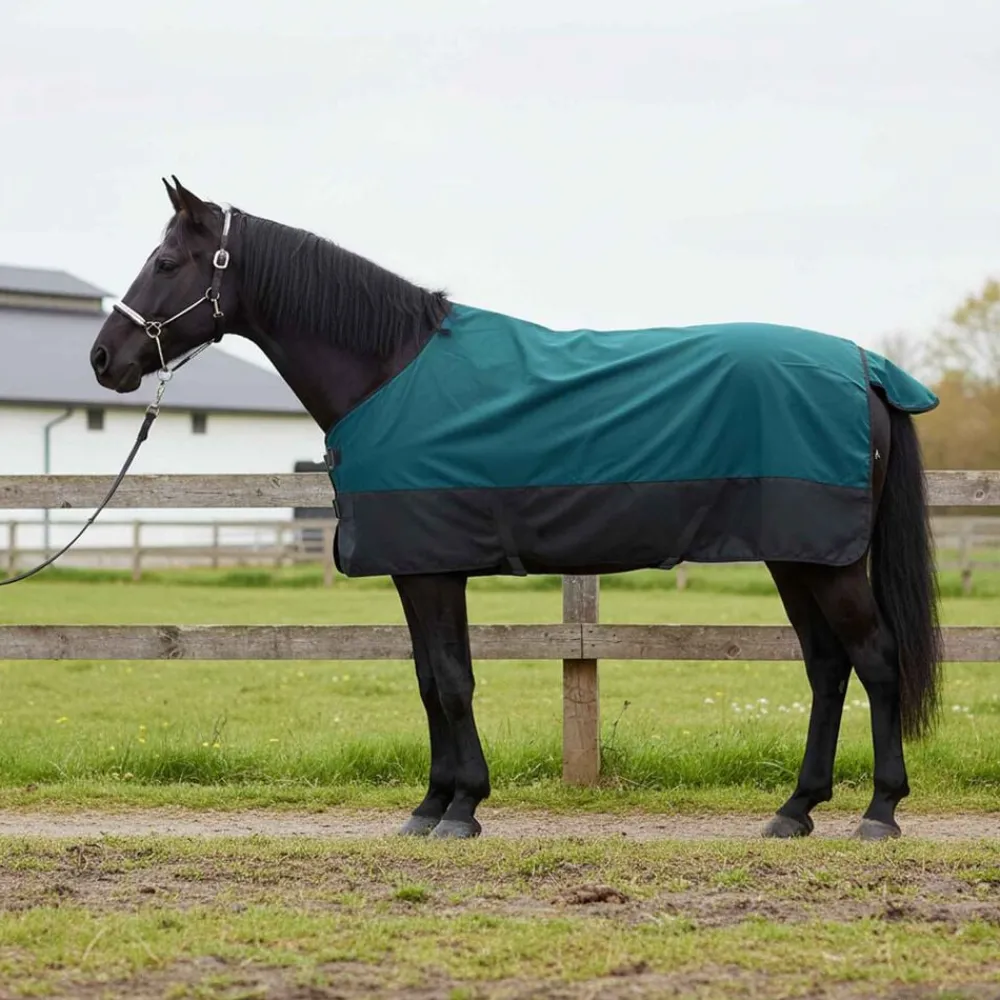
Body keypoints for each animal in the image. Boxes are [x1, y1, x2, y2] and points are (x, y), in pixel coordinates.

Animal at [89, 177, 943, 841]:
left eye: (166, 262)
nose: (104, 358)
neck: (388, 369)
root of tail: (865, 367)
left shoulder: (432, 571)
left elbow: (451, 681)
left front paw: (461, 807)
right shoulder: (420, 570)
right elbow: (431, 679)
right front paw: (433, 804)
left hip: (827, 563)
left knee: (876, 660)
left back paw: (879, 811)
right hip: (797, 557)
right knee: (827, 667)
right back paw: (795, 810)